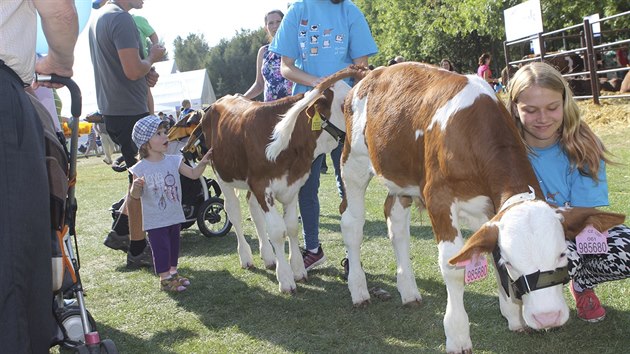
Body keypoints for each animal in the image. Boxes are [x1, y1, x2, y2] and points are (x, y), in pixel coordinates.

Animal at [190, 65, 370, 292]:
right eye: (345, 105)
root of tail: (218, 102)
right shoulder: (261, 186)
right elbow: (277, 231)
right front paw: (285, 278)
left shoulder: (292, 185)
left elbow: (291, 226)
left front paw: (298, 269)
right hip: (222, 174)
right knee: (234, 213)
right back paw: (246, 257)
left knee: (254, 211)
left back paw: (268, 256)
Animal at [338, 62, 624, 352]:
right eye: (511, 263)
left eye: (563, 254)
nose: (548, 317)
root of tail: (371, 74)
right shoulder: (438, 198)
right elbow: (453, 268)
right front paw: (457, 334)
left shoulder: (489, 209)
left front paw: (513, 316)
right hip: (353, 162)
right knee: (352, 224)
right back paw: (359, 290)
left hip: (401, 178)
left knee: (396, 225)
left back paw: (408, 291)